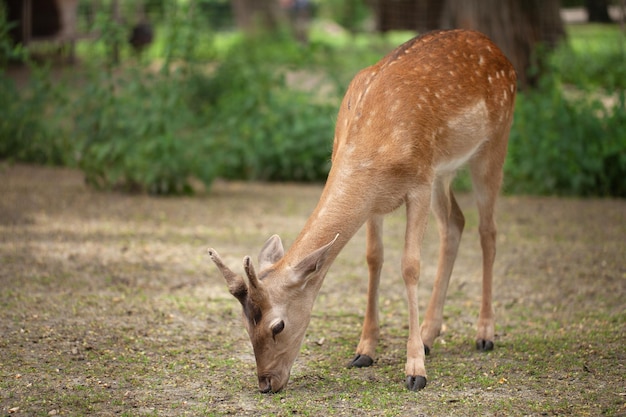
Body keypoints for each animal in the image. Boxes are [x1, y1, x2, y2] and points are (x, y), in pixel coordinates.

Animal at [207, 28, 516, 390]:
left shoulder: (419, 183)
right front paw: (364, 351)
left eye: (277, 326)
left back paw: (484, 334)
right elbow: (373, 258)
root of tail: (498, 51)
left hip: (494, 142)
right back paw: (429, 334)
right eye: (244, 323)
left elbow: (410, 266)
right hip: (444, 170)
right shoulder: (376, 201)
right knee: (455, 222)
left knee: (488, 230)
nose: (266, 383)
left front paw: (415, 370)